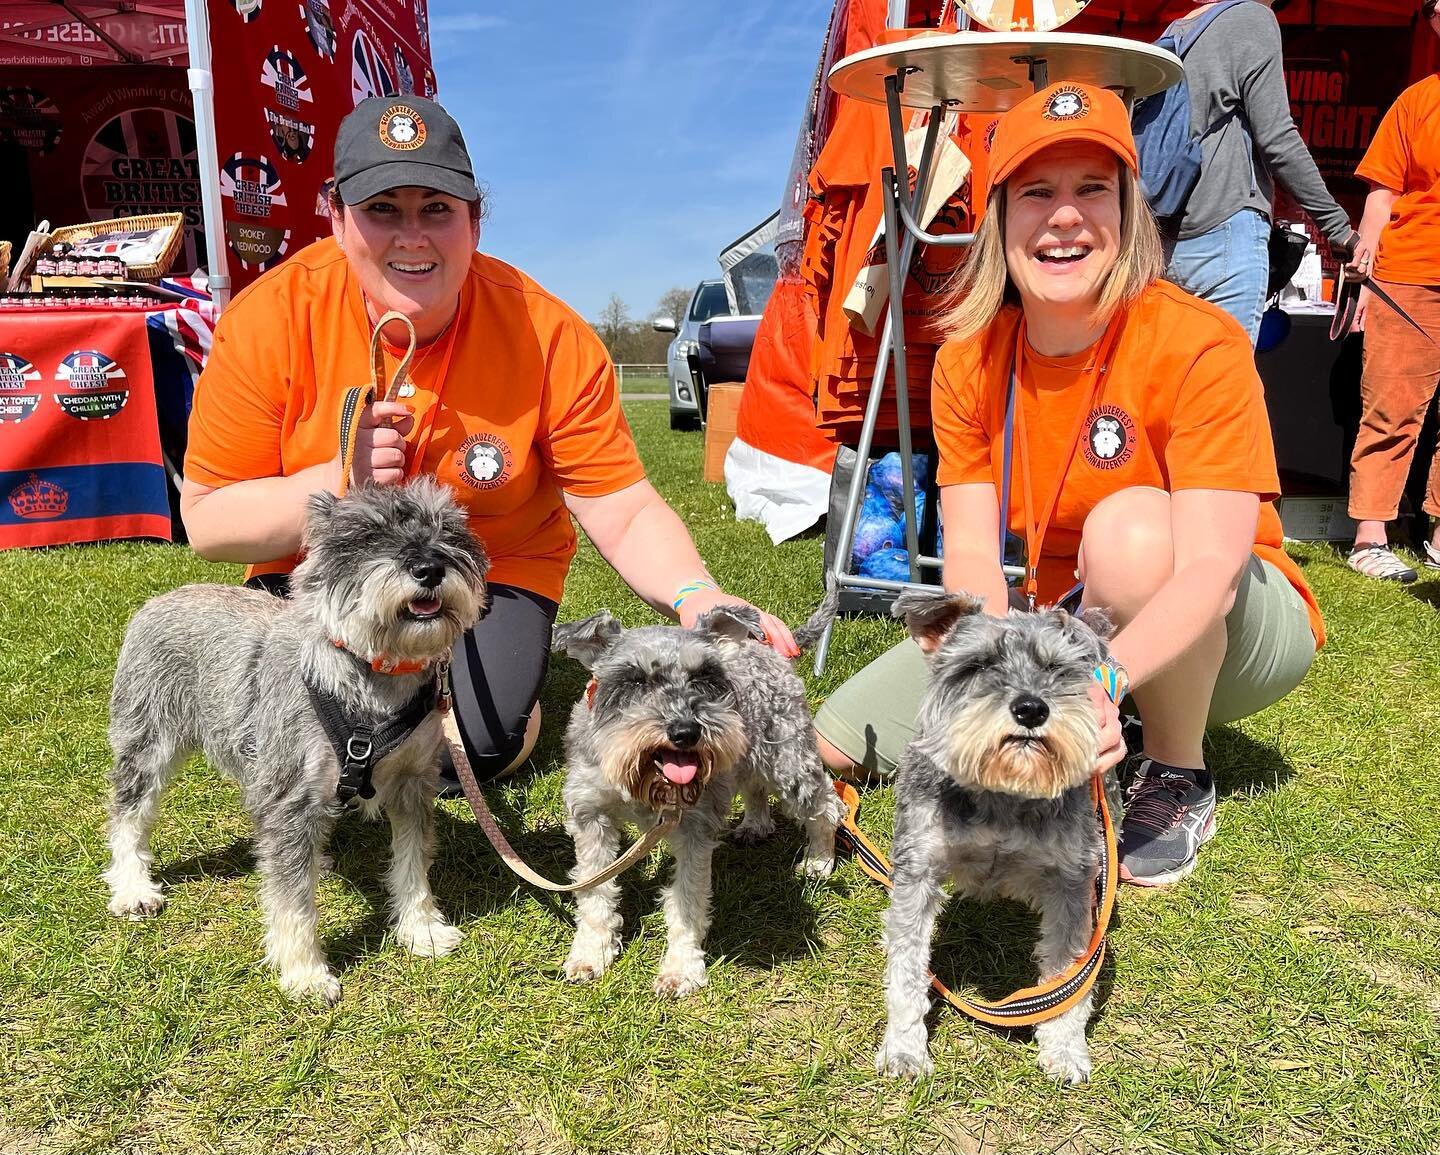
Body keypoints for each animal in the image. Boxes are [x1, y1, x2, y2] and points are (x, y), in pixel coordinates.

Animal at [104, 478, 489, 996]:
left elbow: (412, 862)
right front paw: (305, 971)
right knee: (130, 815)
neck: (373, 676)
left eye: (448, 529)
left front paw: (421, 928)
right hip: (147, 743)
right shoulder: (291, 799)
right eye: (367, 536)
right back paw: (132, 887)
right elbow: (292, 898)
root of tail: (160, 600)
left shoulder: (413, 783)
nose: (429, 568)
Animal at [547, 599, 840, 996]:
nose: (685, 731)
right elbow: (594, 889)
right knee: (755, 787)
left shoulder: (693, 829)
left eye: (704, 676)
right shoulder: (591, 814)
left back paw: (818, 861)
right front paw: (591, 953)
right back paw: (755, 824)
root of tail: (765, 648)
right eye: (635, 679)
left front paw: (681, 968)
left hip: (790, 761)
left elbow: (687, 899)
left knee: (826, 806)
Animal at [875, 590, 1111, 1082]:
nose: (1031, 708)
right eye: (977, 664)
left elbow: (1069, 975)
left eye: (1056, 668)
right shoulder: (918, 869)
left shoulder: (1073, 881)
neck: (1004, 791)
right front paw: (905, 1048)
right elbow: (907, 963)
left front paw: (1065, 1048)